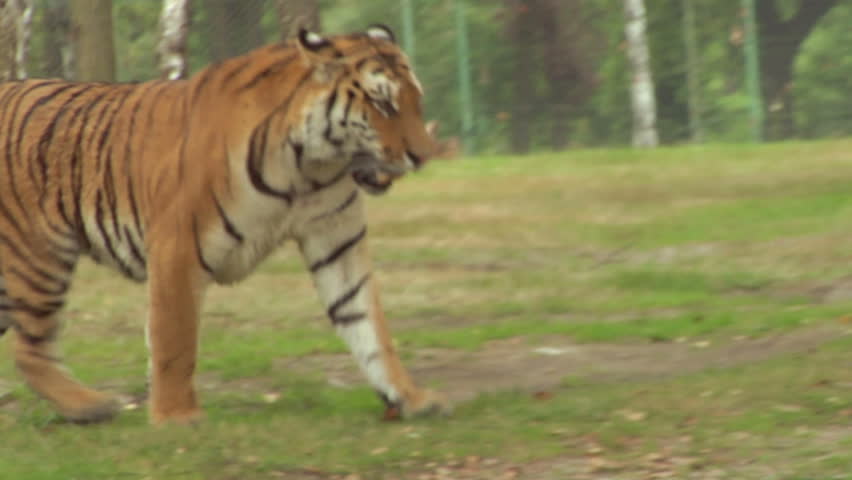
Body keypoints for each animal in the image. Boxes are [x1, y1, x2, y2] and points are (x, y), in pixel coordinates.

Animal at [0, 25, 448, 424]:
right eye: (384, 104)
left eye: (416, 102)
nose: (424, 156)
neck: (308, 170)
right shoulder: (178, 246)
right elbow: (175, 339)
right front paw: (177, 416)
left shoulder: (338, 242)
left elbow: (370, 328)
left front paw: (410, 397)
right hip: (41, 256)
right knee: (29, 350)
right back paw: (88, 406)